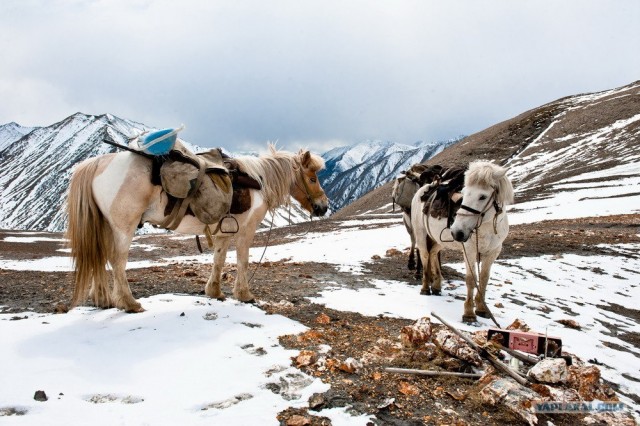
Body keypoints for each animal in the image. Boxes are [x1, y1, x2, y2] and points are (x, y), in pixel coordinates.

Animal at [67, 143, 328, 312]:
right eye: (312, 178)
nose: (323, 207)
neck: (259, 182)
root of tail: (98, 162)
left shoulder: (224, 232)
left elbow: (219, 259)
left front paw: (215, 291)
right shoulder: (246, 230)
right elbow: (243, 260)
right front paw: (244, 295)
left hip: (105, 225)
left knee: (100, 257)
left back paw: (102, 299)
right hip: (124, 227)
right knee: (117, 260)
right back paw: (129, 303)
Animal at [410, 160, 516, 322]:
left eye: (482, 196)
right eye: (463, 194)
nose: (457, 231)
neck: (486, 226)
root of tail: (424, 188)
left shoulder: (493, 252)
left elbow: (484, 278)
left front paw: (482, 309)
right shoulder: (469, 250)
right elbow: (471, 279)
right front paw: (469, 313)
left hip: (439, 239)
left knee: (433, 253)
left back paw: (437, 286)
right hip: (421, 234)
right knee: (425, 255)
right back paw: (425, 287)